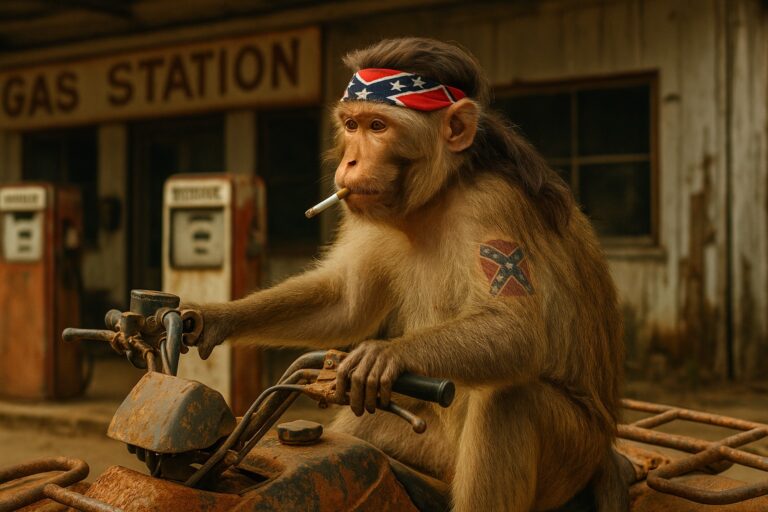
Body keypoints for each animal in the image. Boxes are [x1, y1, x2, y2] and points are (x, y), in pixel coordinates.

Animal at [191, 38, 628, 512]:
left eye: (378, 126)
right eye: (352, 125)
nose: (350, 161)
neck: (440, 193)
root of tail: (604, 458)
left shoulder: (493, 204)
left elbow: (515, 328)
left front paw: (385, 355)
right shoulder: (364, 208)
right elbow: (346, 303)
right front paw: (210, 317)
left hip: (574, 458)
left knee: (510, 399)